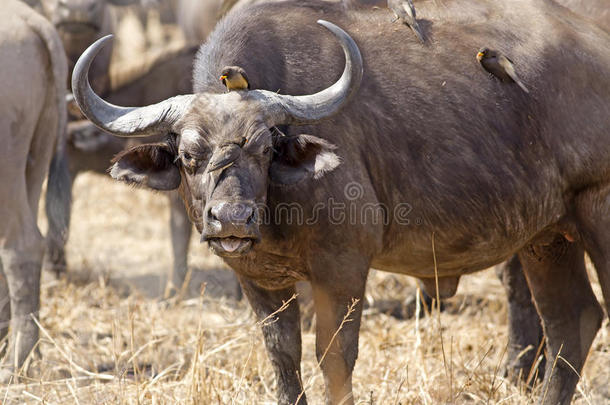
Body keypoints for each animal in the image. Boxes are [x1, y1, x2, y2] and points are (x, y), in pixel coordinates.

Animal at [72, 0, 608, 404]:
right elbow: (283, 357)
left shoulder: (344, 268)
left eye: (264, 148)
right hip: (547, 237)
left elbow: (333, 358)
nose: (232, 220)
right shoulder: (258, 279)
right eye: (187, 155)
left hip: (595, 213)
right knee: (572, 321)